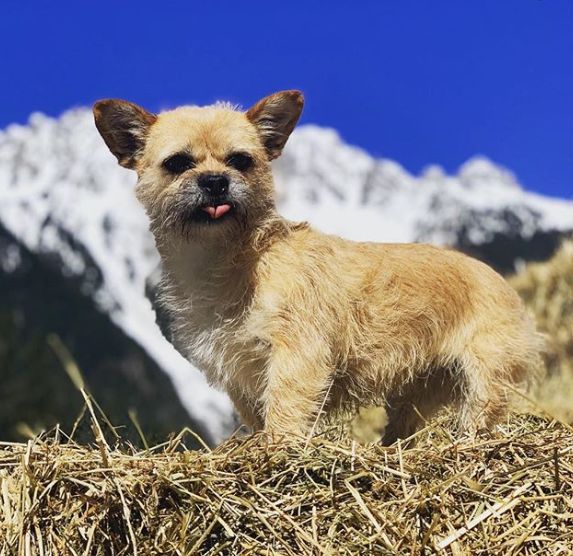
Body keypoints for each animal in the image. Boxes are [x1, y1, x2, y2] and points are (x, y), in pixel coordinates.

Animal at [92, 90, 540, 444]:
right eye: (178, 163)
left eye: (241, 161)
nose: (216, 181)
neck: (230, 260)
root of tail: (504, 283)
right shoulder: (241, 374)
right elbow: (259, 416)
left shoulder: (297, 354)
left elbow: (284, 409)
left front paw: (278, 452)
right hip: (419, 390)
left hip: (485, 376)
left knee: (480, 414)